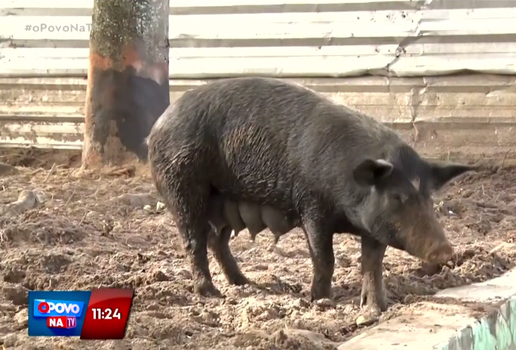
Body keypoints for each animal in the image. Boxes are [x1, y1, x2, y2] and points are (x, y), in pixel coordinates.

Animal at [145, 76, 476, 314]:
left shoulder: (374, 227)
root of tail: (157, 125)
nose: (445, 250)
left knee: (217, 240)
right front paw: (319, 301)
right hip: (182, 186)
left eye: (429, 197)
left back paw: (244, 284)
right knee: (193, 241)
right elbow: (324, 257)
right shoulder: (312, 206)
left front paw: (377, 308)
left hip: (222, 201)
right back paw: (212, 294)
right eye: (397, 196)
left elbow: (372, 264)